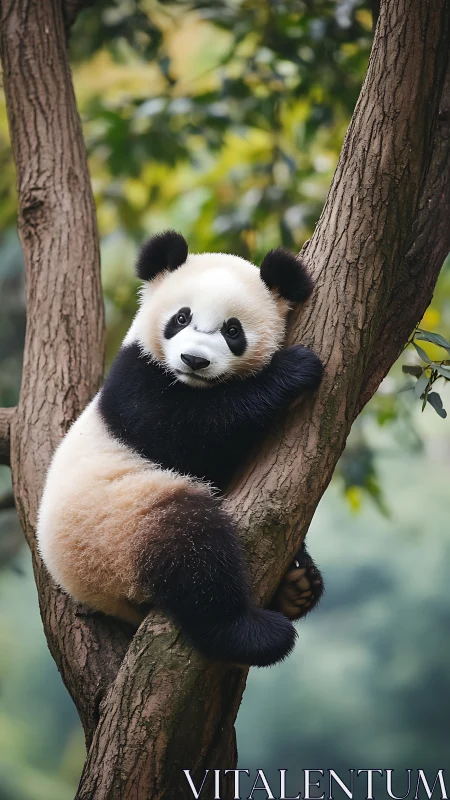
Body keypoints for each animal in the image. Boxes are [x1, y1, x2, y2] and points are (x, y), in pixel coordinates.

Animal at [37, 231, 324, 668]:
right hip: (113, 524)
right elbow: (184, 431)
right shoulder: (134, 377)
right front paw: (293, 371)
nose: (194, 359)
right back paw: (253, 633)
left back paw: (298, 586)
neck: (192, 384)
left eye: (233, 330)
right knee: (191, 548)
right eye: (181, 318)